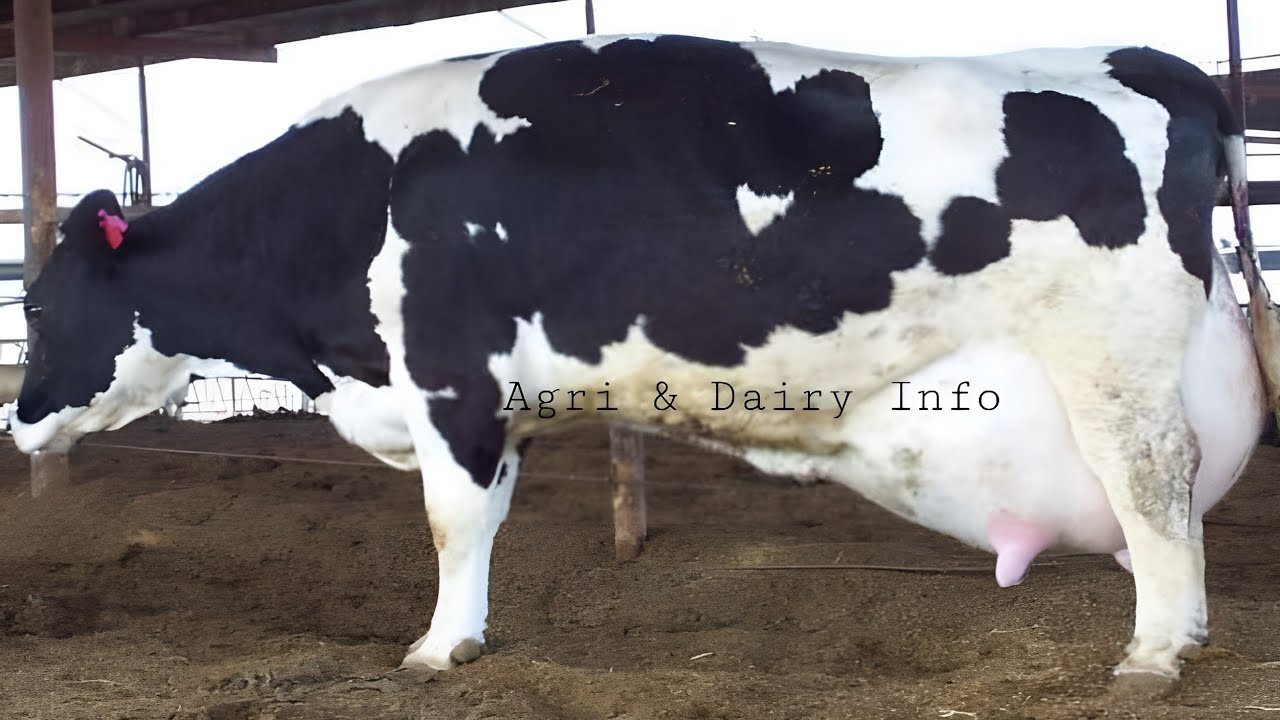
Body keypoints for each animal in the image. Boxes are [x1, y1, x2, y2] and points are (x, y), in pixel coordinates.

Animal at [8, 34, 1270, 690]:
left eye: (39, 297)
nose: (17, 421)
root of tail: (1128, 59)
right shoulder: (498, 407)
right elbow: (486, 521)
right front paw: (467, 634)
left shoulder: (449, 381)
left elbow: (447, 526)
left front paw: (434, 649)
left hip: (1109, 358)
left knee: (1153, 478)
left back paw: (1156, 650)